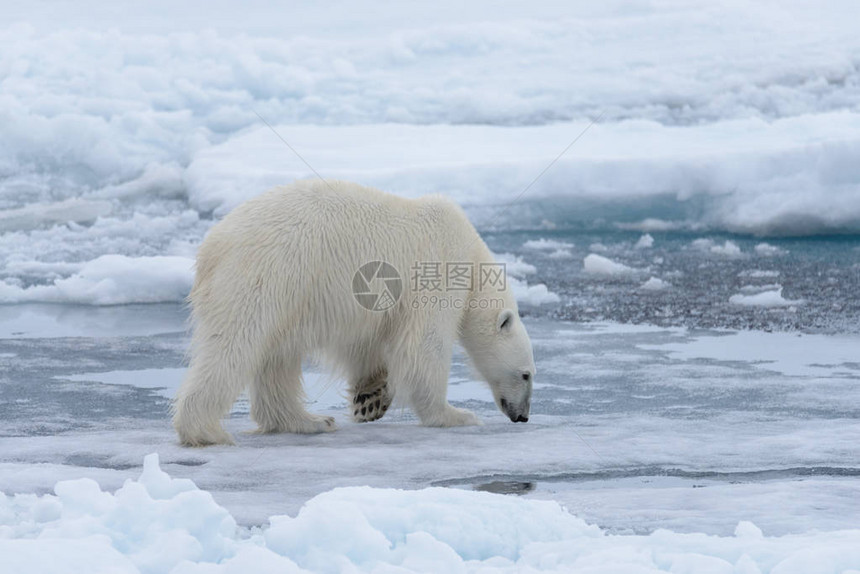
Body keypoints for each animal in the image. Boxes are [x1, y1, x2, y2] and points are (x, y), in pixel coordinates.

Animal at [171, 179, 536, 446]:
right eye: (526, 374)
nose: (523, 416)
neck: (472, 258)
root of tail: (212, 248)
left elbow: (366, 343)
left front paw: (370, 400)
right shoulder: (437, 272)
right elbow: (423, 348)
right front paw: (455, 415)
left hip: (288, 294)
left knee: (278, 357)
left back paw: (311, 421)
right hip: (267, 274)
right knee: (234, 345)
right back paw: (205, 431)